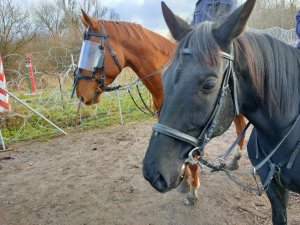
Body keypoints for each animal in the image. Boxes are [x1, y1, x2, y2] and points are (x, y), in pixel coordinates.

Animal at [75, 11, 246, 206]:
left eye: (94, 51)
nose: (80, 94)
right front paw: (184, 183)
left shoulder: (193, 131)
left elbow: (192, 161)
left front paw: (192, 191)